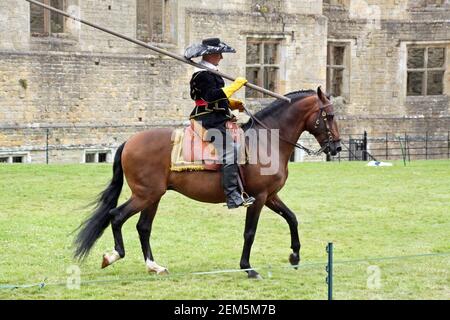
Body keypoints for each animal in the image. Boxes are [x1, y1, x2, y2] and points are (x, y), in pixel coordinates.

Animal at [74, 86, 342, 278]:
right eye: (329, 115)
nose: (337, 147)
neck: (266, 140)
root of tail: (129, 141)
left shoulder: (271, 196)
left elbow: (292, 218)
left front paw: (295, 256)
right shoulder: (259, 197)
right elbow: (250, 232)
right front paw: (247, 267)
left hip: (153, 196)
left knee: (143, 227)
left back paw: (154, 266)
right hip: (145, 195)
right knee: (116, 216)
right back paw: (114, 256)